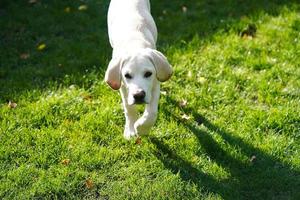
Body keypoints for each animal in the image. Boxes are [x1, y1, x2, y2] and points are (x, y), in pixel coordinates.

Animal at [105, 0, 171, 139]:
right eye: (127, 75)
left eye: (148, 74)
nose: (138, 95)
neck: (134, 44)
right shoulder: (123, 87)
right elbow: (129, 109)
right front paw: (130, 130)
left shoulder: (155, 84)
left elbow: (152, 113)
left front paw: (142, 128)